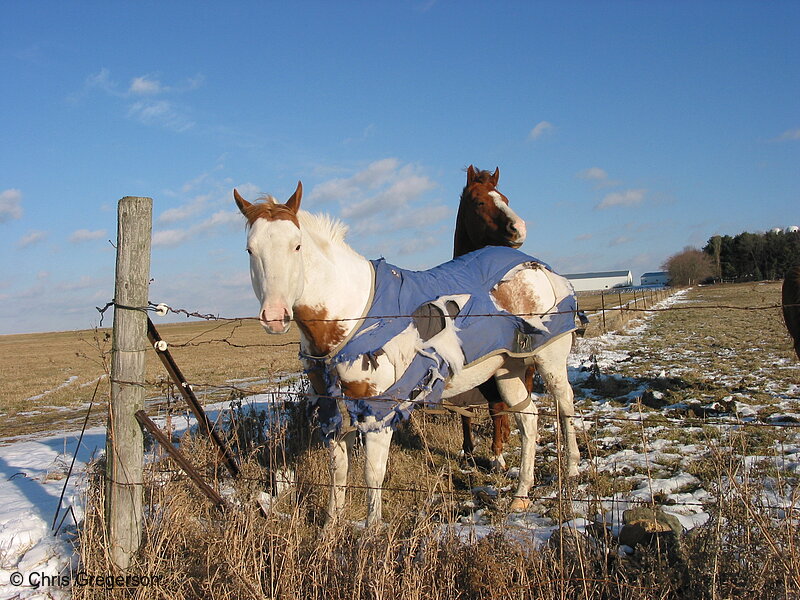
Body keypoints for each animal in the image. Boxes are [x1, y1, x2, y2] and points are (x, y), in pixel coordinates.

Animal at [234, 183, 580, 524]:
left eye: (297, 246)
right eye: (250, 250)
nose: (275, 316)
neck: (352, 312)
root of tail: (538, 267)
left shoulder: (378, 411)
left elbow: (372, 474)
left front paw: (371, 533)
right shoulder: (333, 410)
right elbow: (338, 472)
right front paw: (331, 529)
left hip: (549, 360)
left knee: (565, 403)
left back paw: (573, 469)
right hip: (508, 368)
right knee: (528, 420)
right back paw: (521, 496)